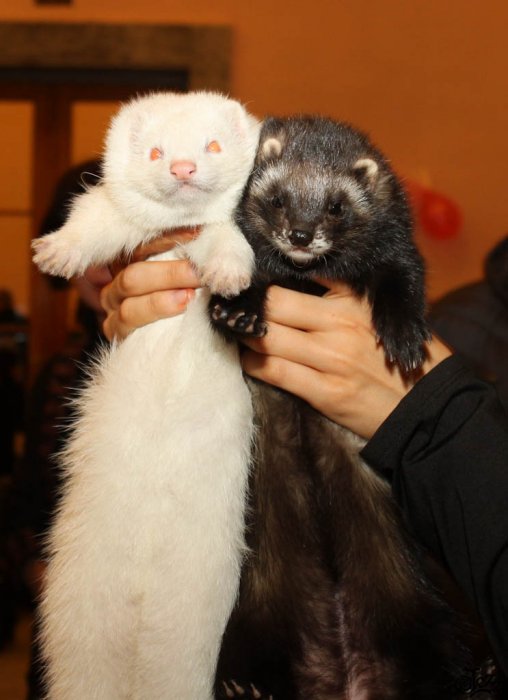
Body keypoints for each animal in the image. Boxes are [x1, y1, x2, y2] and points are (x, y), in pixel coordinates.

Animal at [32, 90, 260, 700]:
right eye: (156, 150)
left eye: (212, 144)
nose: (182, 167)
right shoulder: (110, 213)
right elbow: (92, 221)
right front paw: (57, 252)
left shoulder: (219, 230)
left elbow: (228, 240)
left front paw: (230, 275)